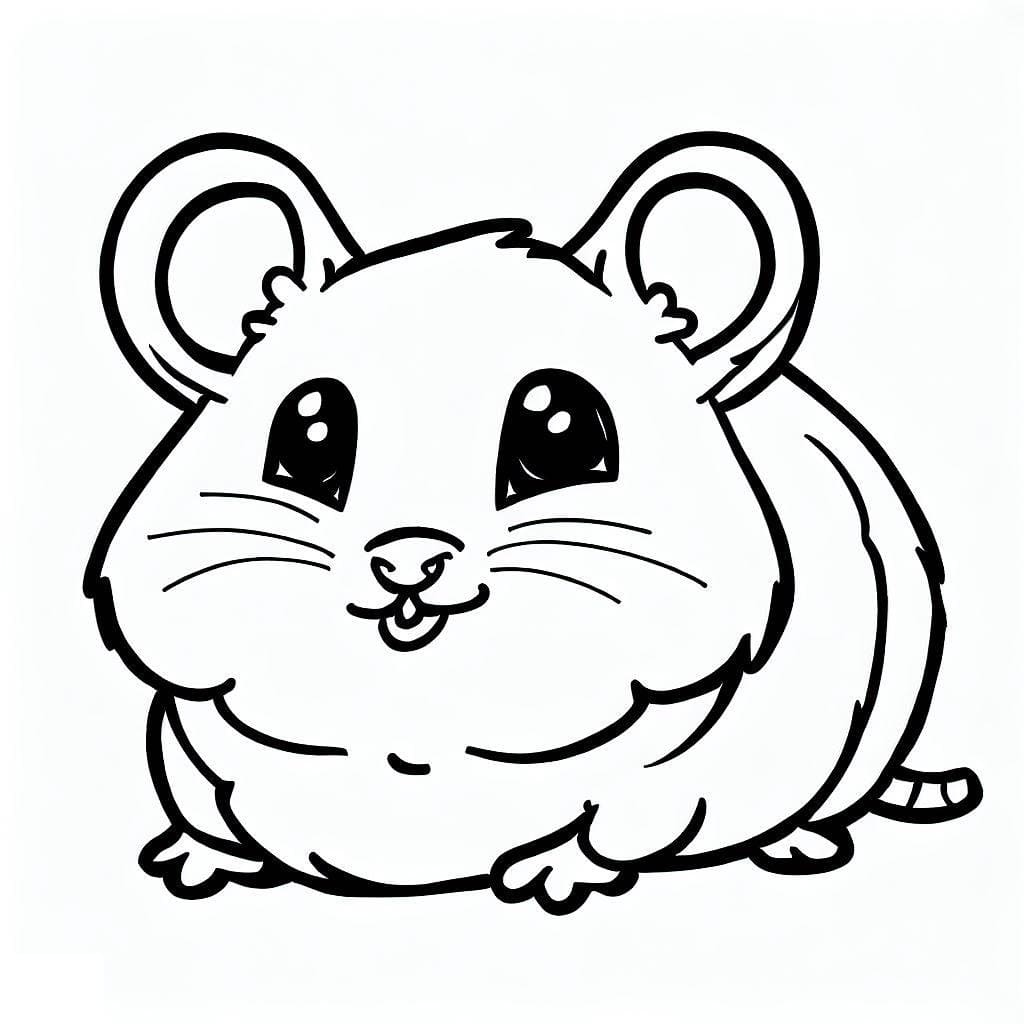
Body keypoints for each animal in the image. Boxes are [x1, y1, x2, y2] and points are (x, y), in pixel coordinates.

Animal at [85, 131, 981, 914]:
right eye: (308, 434)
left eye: (560, 430)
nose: (408, 558)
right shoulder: (186, 740)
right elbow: (205, 800)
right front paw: (194, 859)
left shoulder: (695, 767)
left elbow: (626, 815)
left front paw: (556, 874)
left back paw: (802, 841)